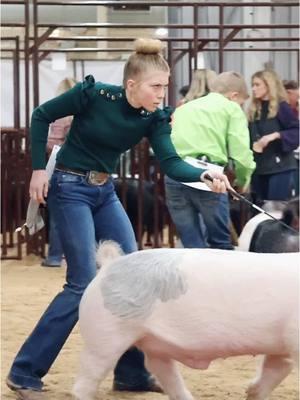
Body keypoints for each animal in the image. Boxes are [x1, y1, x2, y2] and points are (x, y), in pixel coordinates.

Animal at [72, 241, 298, 400]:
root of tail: (109, 265)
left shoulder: (282, 346)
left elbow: (274, 372)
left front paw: (251, 392)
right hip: (104, 335)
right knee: (85, 382)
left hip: (153, 345)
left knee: (163, 371)